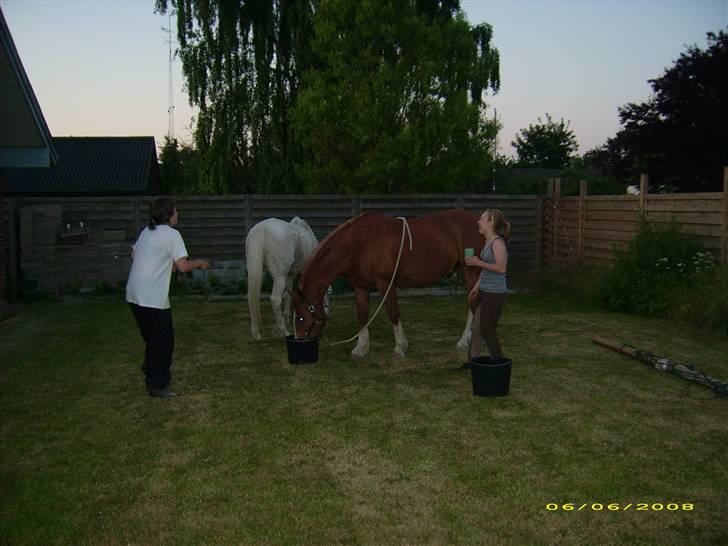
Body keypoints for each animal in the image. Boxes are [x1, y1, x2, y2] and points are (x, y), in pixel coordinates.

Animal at [290, 208, 484, 356]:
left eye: (300, 318)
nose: (298, 343)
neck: (360, 243)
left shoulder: (386, 284)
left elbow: (393, 313)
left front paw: (400, 347)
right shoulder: (360, 286)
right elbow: (362, 315)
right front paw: (361, 348)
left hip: (471, 272)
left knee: (473, 304)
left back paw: (465, 342)